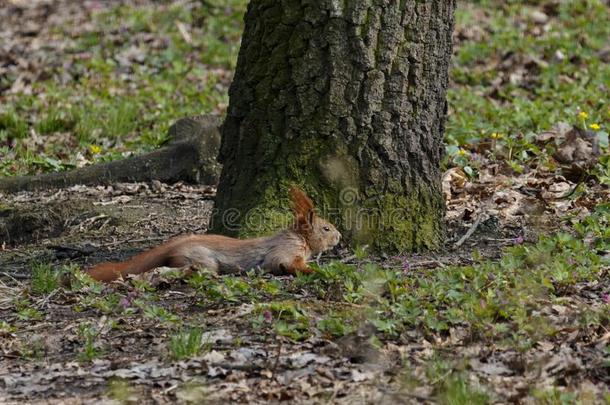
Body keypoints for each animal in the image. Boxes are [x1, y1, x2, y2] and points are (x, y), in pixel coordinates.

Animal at [85, 186, 340, 280]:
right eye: (326, 228)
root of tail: (175, 244)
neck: (299, 238)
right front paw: (315, 270)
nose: (339, 237)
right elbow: (285, 263)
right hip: (203, 259)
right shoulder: (285, 249)